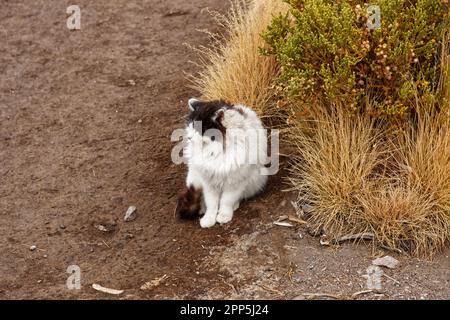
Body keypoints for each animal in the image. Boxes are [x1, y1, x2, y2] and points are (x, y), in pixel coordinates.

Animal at [175, 97, 268, 228]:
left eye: (200, 129)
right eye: (192, 126)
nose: (189, 137)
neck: (216, 150)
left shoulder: (235, 182)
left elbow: (226, 201)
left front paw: (224, 215)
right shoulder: (208, 182)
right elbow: (211, 203)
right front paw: (208, 218)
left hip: (257, 178)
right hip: (193, 176)